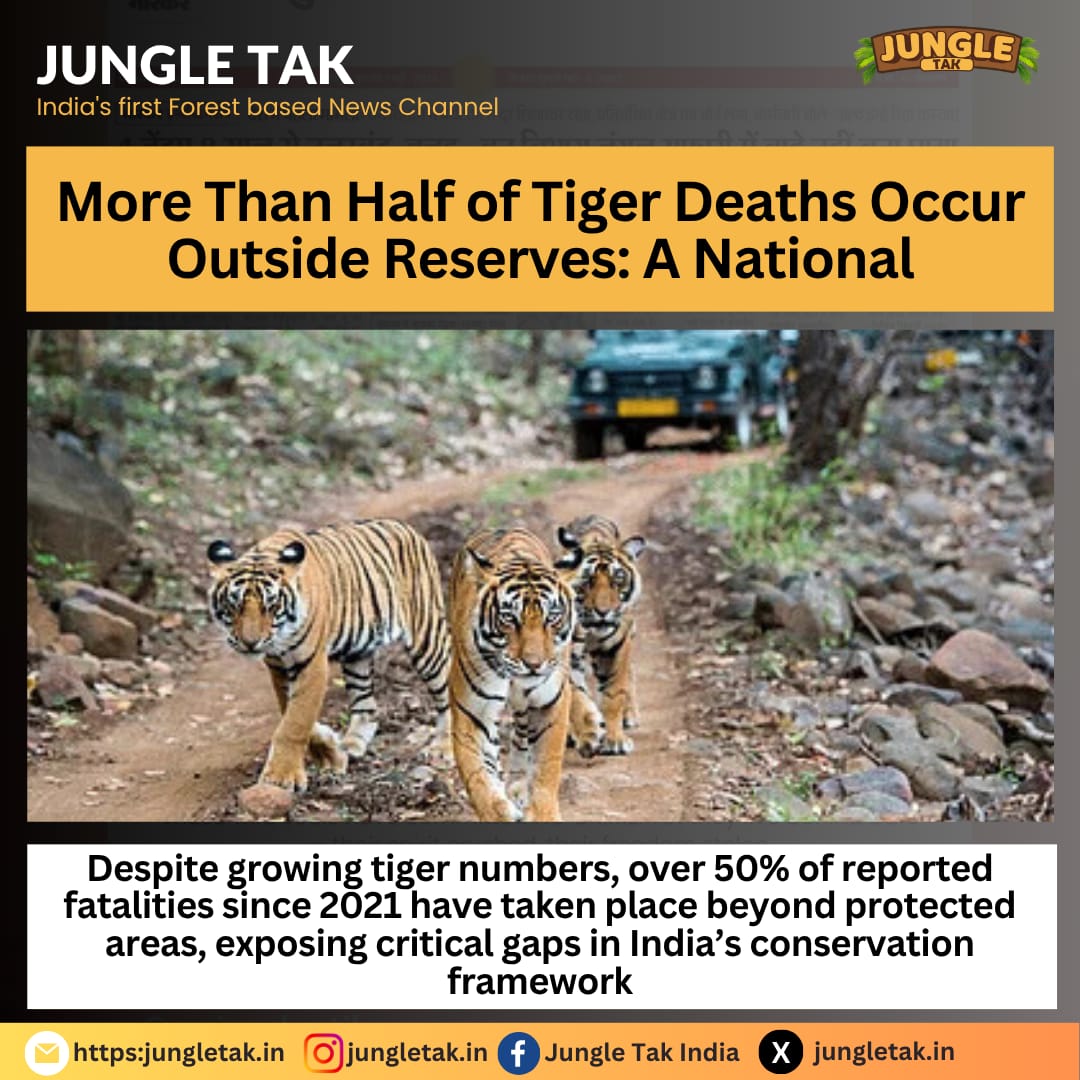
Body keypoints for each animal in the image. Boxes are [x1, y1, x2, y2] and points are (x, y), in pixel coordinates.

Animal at [206, 518, 451, 793]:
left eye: (271, 605)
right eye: (233, 604)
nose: (250, 643)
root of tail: (406, 527)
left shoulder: (311, 663)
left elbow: (296, 721)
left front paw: (281, 776)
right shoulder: (278, 666)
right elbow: (291, 712)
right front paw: (330, 753)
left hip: (427, 637)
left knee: (447, 692)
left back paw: (443, 748)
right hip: (357, 654)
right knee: (366, 704)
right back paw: (352, 744)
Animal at [446, 526, 603, 822]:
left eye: (552, 617)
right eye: (509, 618)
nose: (534, 664)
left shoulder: (549, 703)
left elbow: (545, 768)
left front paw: (541, 813)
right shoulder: (471, 711)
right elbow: (477, 776)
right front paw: (498, 812)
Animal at [557, 514, 646, 755]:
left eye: (618, 579)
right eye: (587, 581)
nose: (603, 612)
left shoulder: (619, 642)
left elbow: (614, 692)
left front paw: (615, 739)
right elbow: (575, 694)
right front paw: (588, 733)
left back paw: (629, 715)